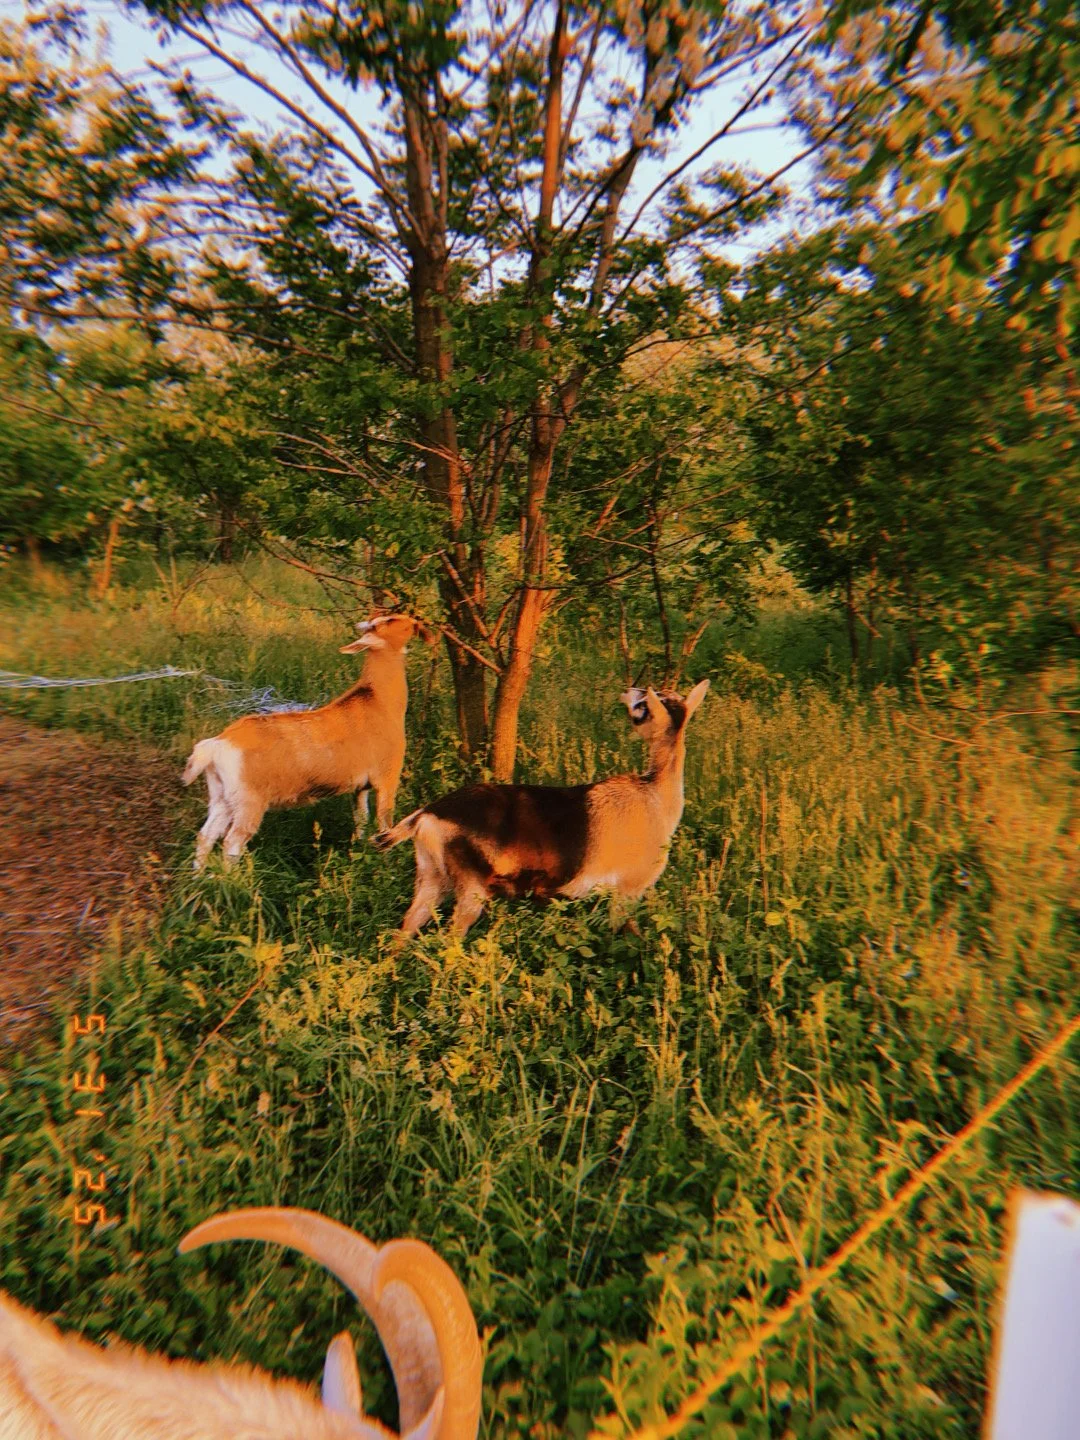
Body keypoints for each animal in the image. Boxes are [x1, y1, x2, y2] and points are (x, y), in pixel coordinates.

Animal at [183, 615, 433, 869]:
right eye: (390, 621)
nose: (416, 622)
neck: (381, 701)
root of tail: (216, 745)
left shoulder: (360, 786)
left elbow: (361, 821)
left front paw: (362, 850)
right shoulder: (387, 775)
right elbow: (384, 824)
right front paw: (386, 861)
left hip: (221, 794)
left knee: (206, 835)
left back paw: (201, 876)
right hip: (248, 799)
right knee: (231, 842)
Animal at [373, 680, 710, 938]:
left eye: (646, 705)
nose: (629, 690)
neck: (654, 798)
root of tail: (426, 815)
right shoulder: (627, 890)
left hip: (432, 877)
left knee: (404, 930)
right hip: (470, 888)